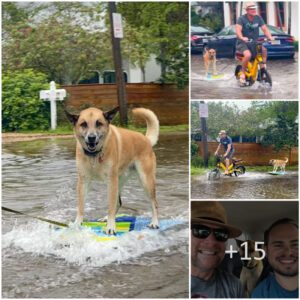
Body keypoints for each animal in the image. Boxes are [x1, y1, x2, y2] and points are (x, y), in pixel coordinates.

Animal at [65, 106, 159, 236]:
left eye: (99, 123)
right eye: (83, 124)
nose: (91, 138)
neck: (94, 155)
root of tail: (146, 139)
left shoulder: (111, 180)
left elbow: (110, 205)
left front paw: (110, 227)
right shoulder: (83, 181)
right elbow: (80, 205)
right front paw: (77, 224)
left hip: (145, 181)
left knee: (154, 203)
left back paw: (154, 222)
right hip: (119, 181)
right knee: (118, 203)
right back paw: (106, 218)